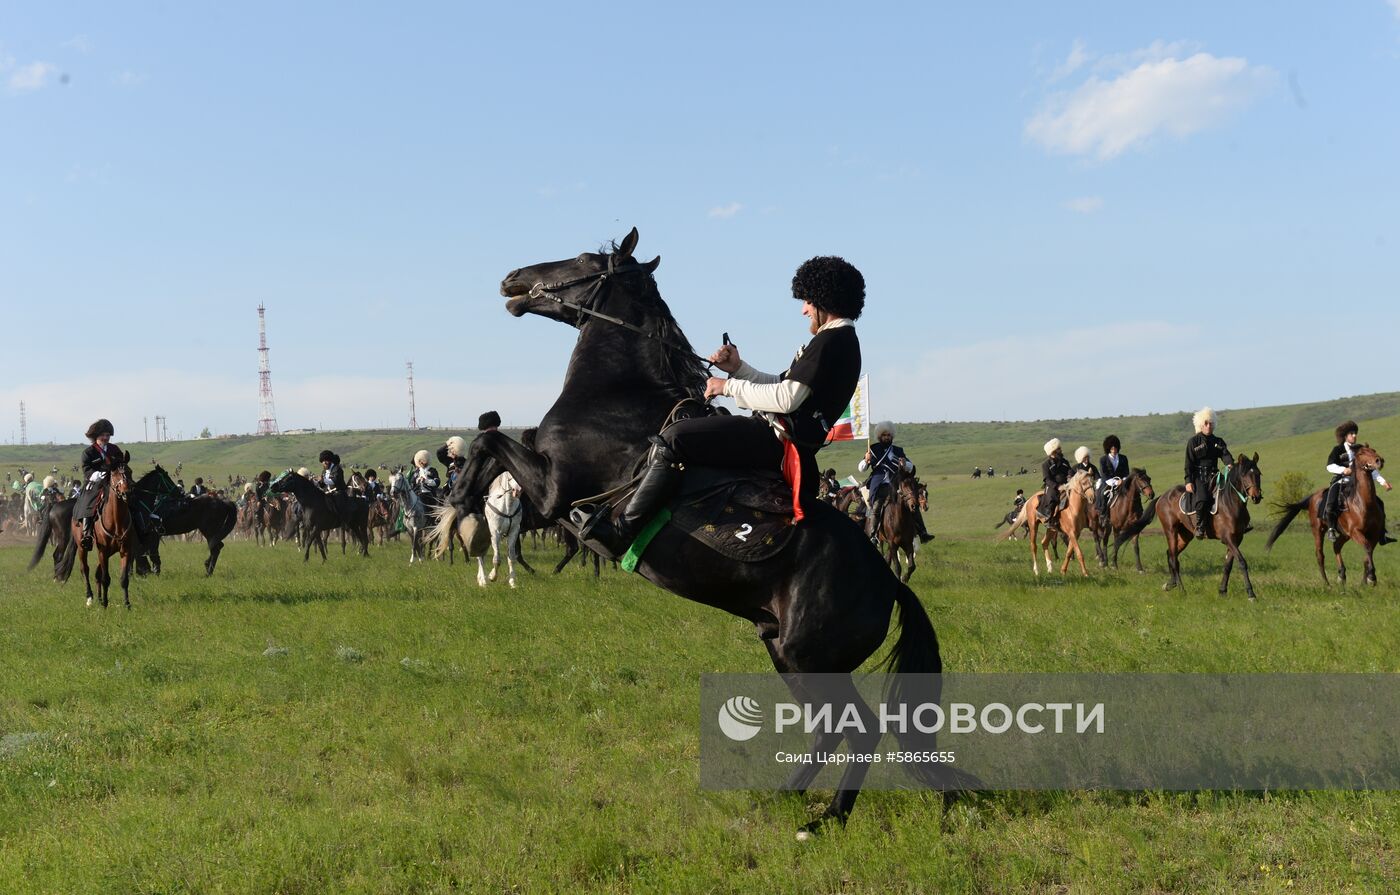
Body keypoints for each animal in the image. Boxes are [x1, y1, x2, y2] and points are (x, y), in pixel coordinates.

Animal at [70, 453, 136, 610]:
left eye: (130, 471)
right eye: (115, 474)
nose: (127, 492)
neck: (116, 520)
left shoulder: (125, 550)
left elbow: (124, 579)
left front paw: (127, 604)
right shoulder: (103, 551)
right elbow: (106, 578)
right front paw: (105, 604)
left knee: (97, 572)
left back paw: (99, 598)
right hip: (82, 547)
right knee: (85, 569)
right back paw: (90, 598)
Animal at [453, 226, 957, 834]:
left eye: (583, 259)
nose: (513, 280)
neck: (616, 397)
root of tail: (889, 582)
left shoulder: (554, 491)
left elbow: (492, 438)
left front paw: (458, 499)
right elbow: (490, 440)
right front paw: (460, 503)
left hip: (810, 658)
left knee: (857, 729)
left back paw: (824, 819)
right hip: (785, 653)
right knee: (831, 730)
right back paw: (785, 799)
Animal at [1120, 453, 1265, 602]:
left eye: (1258, 474)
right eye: (1244, 475)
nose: (1256, 496)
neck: (1230, 503)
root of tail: (1162, 497)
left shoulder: (1237, 539)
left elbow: (1227, 565)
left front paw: (1222, 591)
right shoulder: (1228, 539)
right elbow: (1242, 562)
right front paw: (1251, 594)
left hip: (1185, 536)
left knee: (1170, 554)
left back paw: (1171, 584)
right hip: (1170, 530)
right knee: (1174, 558)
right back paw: (1181, 589)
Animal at [1265, 442, 1383, 585]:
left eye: (1373, 450)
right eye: (1361, 453)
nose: (1379, 461)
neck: (1363, 503)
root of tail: (1312, 498)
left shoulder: (1374, 534)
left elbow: (1368, 553)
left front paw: (1366, 581)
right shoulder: (1355, 532)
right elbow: (1367, 548)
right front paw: (1371, 577)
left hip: (1344, 534)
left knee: (1336, 546)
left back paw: (1341, 575)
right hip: (1319, 529)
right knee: (1320, 555)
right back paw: (1327, 584)